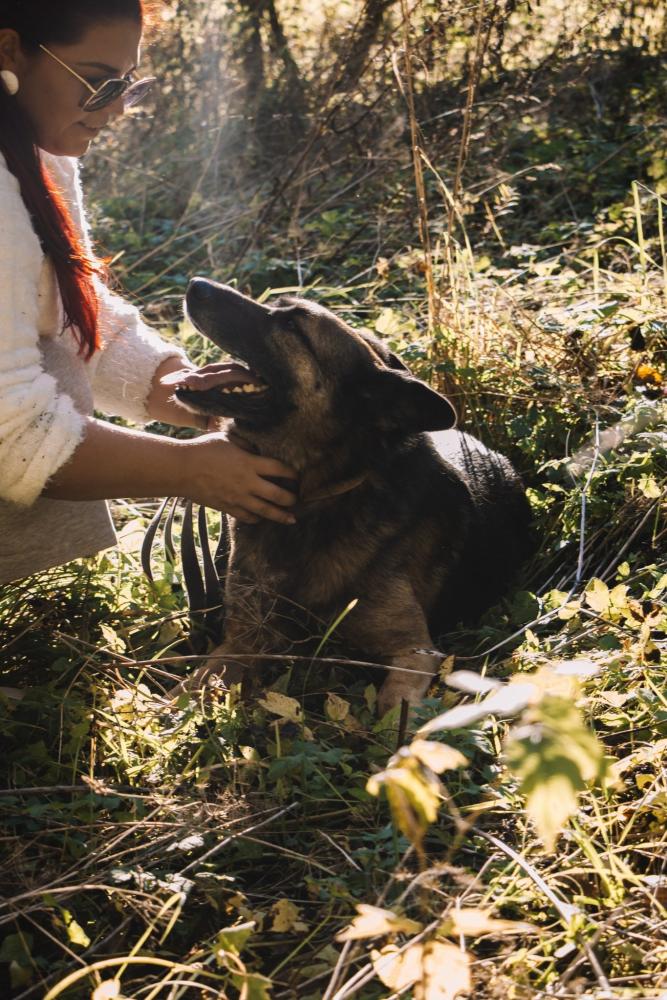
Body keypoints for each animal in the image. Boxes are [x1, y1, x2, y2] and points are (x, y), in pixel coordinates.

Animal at [174, 279, 532, 716]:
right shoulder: (241, 642)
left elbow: (392, 711)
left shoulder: (415, 653)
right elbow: (185, 692)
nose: (195, 285)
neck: (314, 499)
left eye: (293, 325)